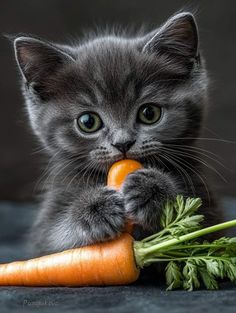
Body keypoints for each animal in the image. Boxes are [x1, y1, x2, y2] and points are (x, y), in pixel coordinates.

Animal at [12, 12, 223, 256]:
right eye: (88, 122)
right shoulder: (46, 226)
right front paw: (94, 209)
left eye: (149, 113)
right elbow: (52, 242)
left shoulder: (208, 204)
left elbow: (202, 230)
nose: (123, 143)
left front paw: (152, 189)